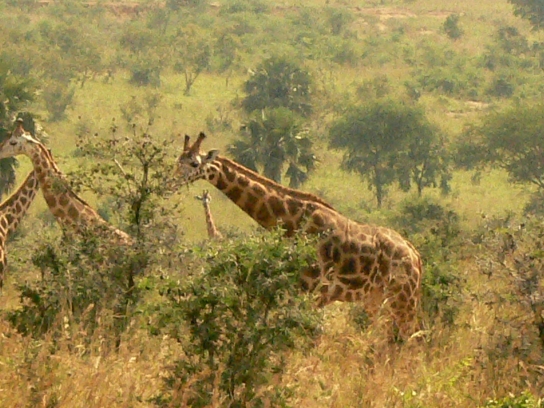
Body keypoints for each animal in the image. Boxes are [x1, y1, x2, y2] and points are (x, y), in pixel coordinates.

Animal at [174, 132, 423, 339]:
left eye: (194, 163)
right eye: (178, 160)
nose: (172, 180)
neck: (292, 221)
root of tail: (416, 255)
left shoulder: (314, 292)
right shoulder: (298, 291)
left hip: (403, 298)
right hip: (376, 299)